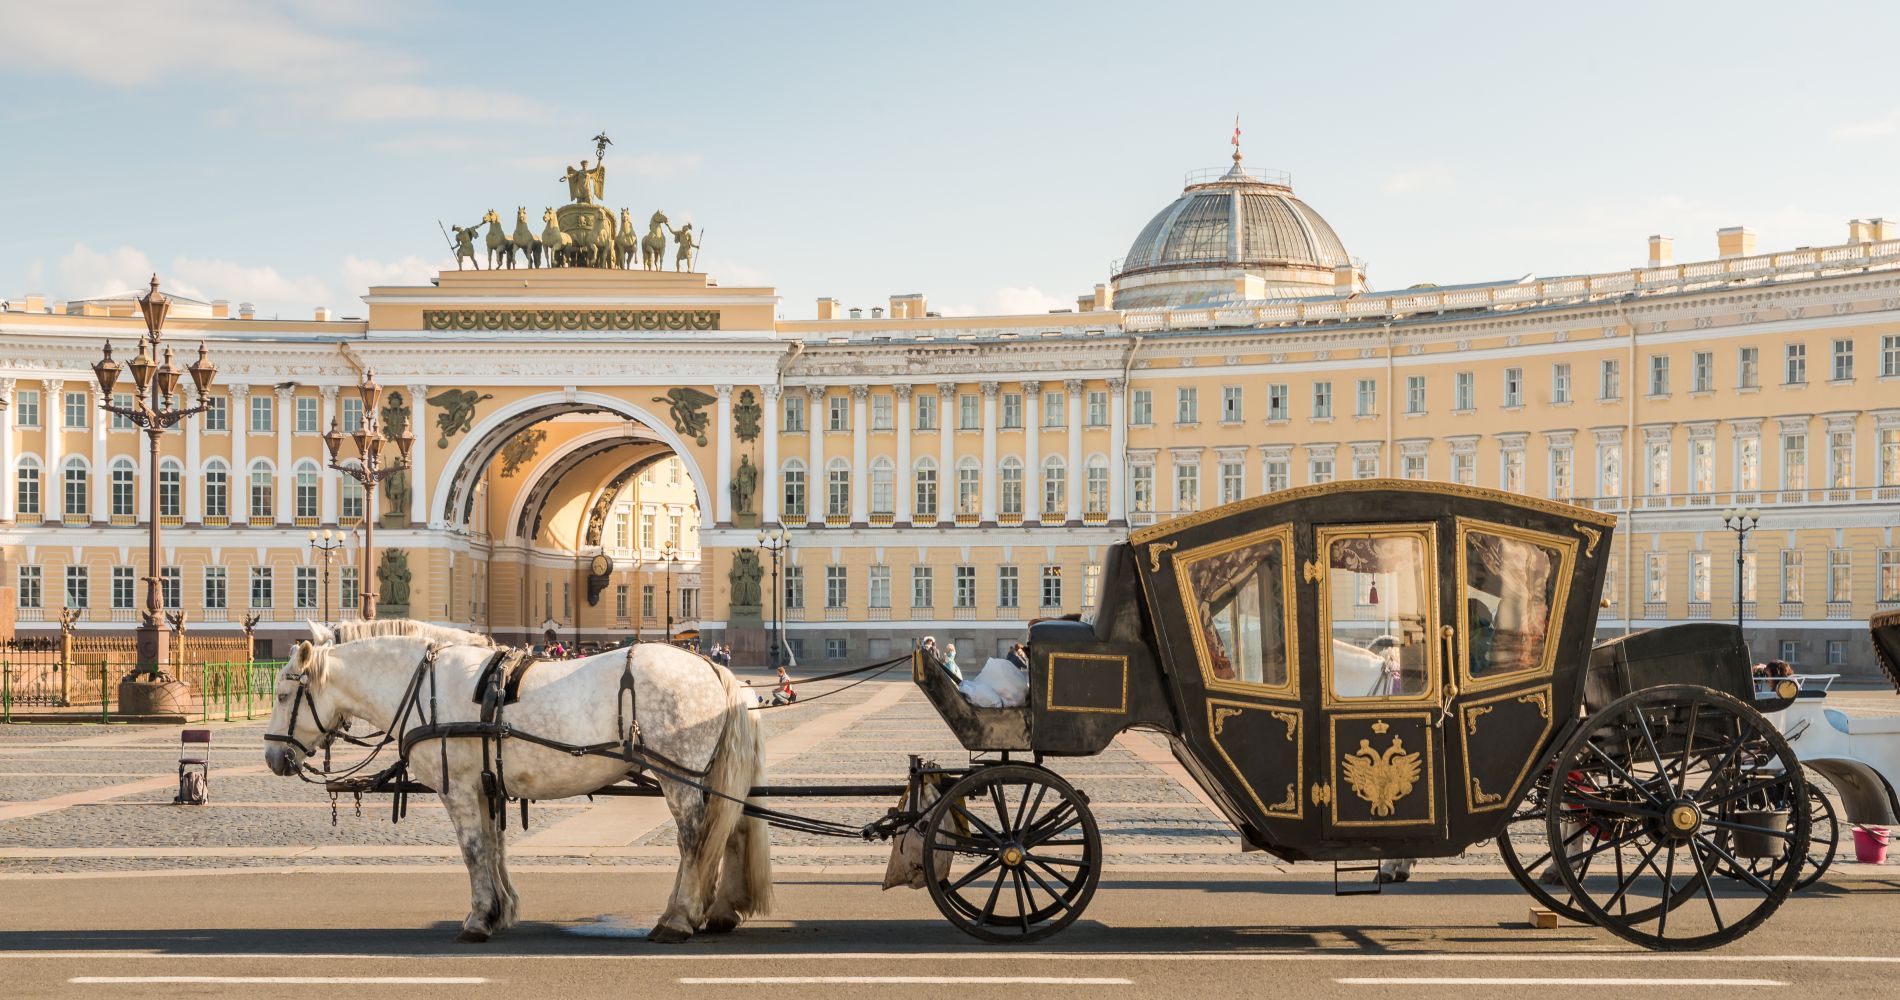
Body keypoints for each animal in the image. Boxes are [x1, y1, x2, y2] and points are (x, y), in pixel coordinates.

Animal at [260, 623, 771, 946]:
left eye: (283, 695)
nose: (272, 757)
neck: (424, 686)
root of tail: (714, 669)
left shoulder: (459, 790)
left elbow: (473, 851)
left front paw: (477, 919)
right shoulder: (486, 787)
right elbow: (494, 846)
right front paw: (500, 910)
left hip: (679, 777)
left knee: (695, 840)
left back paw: (678, 918)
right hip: (709, 777)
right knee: (733, 830)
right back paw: (718, 911)